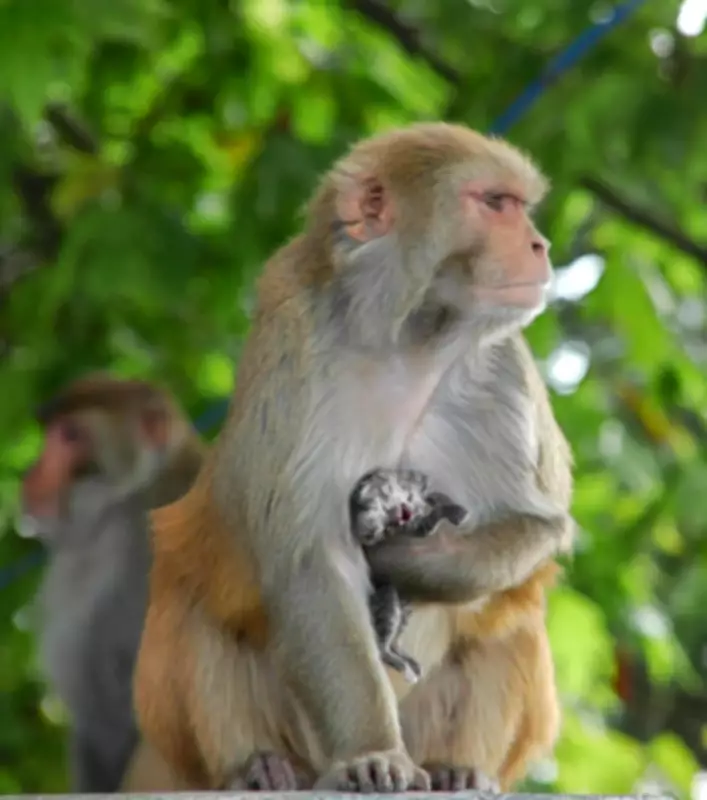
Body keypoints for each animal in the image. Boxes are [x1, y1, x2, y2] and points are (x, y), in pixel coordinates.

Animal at [349, 468, 468, 683]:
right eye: (386, 529)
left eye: (382, 505)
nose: (397, 520)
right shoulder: (418, 527)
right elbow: (431, 516)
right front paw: (454, 512)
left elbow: (436, 496)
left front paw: (454, 508)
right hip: (388, 601)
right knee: (381, 648)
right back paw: (407, 671)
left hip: (403, 617)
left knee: (393, 644)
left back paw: (412, 664)